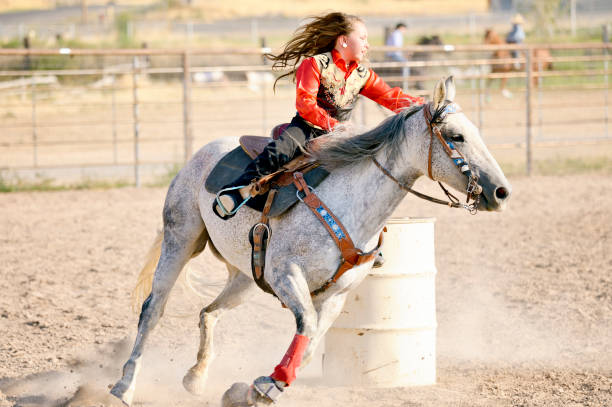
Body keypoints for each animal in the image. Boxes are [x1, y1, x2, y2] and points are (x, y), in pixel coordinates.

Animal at [109, 77, 512, 407]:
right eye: (457, 136)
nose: (501, 191)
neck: (350, 204)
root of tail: (203, 152)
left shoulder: (335, 296)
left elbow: (310, 344)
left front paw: (252, 390)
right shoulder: (287, 276)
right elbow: (305, 328)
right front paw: (263, 387)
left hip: (246, 274)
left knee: (209, 312)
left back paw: (195, 377)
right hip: (180, 239)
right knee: (153, 309)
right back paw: (125, 385)